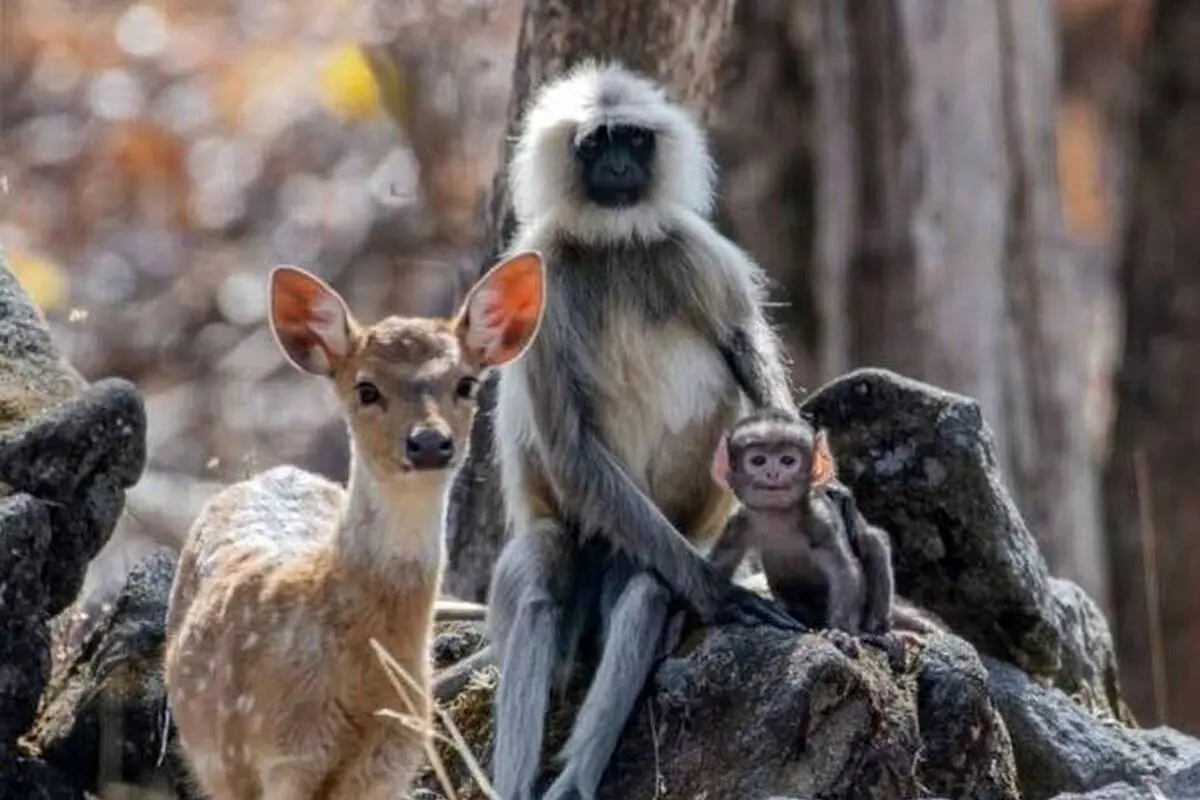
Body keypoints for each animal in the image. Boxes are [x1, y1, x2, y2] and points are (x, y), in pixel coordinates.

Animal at [482, 62, 801, 800]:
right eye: (597, 143)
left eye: (632, 138)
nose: (620, 165)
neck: (612, 242)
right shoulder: (539, 266)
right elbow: (567, 443)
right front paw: (719, 593)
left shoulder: (692, 245)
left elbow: (741, 345)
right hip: (593, 524)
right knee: (542, 581)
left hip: (659, 533)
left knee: (647, 589)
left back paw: (574, 780)